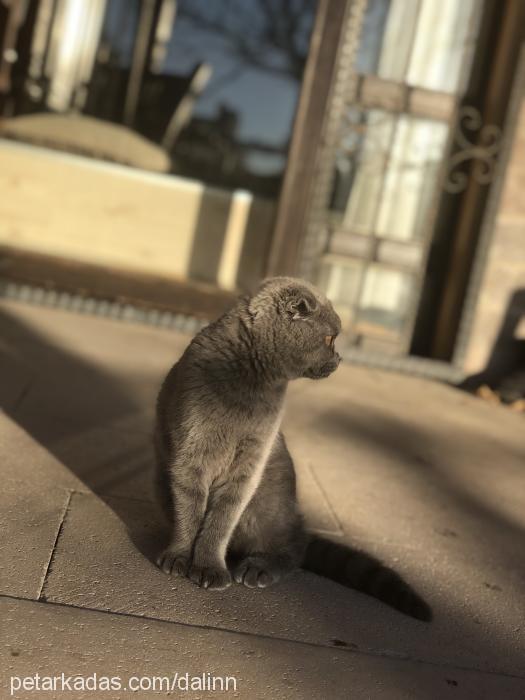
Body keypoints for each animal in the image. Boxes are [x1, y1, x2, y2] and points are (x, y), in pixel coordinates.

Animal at [152, 276, 430, 620]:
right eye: (329, 338)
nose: (340, 359)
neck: (249, 385)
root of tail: (300, 523)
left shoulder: (249, 466)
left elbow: (220, 522)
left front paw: (209, 569)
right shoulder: (191, 454)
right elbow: (188, 513)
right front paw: (179, 556)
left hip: (269, 500)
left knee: (293, 549)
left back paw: (258, 568)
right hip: (160, 478)